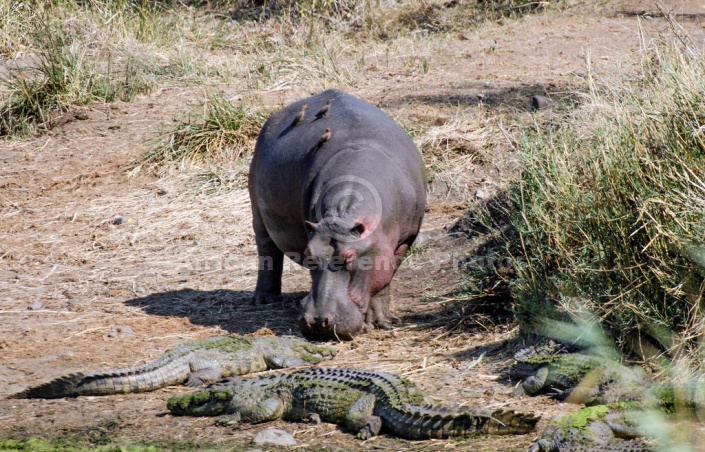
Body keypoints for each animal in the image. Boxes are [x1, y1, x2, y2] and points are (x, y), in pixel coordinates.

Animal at [248, 88, 424, 340]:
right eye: (308, 255)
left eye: (349, 257)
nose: (317, 322)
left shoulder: (403, 241)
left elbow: (384, 281)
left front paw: (382, 322)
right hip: (257, 209)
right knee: (267, 250)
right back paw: (265, 300)